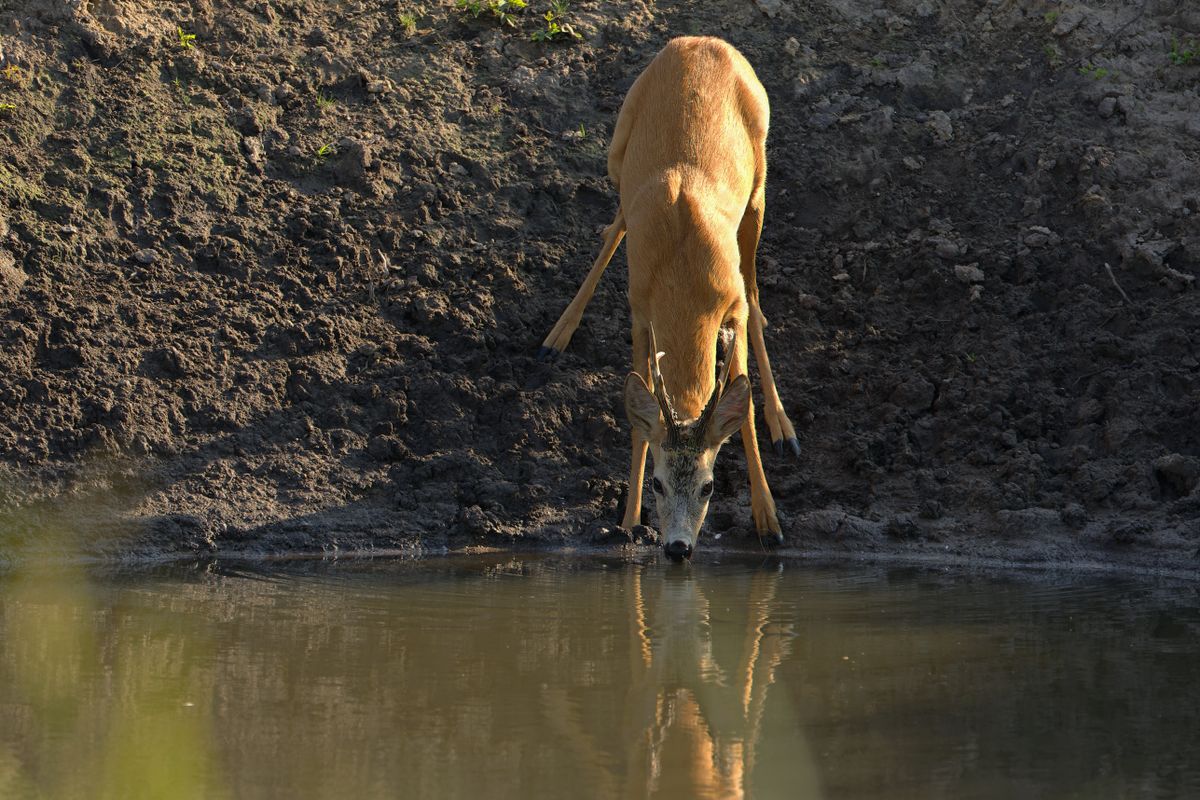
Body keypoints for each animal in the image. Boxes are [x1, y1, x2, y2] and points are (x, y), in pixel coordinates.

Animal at [540, 37, 801, 563]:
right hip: (618, 151)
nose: (678, 548)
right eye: (659, 484)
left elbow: (741, 407)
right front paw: (627, 519)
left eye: (708, 486)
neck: (683, 283)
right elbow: (641, 420)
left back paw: (784, 425)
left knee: (755, 286)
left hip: (759, 183)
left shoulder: (730, 305)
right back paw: (558, 333)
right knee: (615, 222)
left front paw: (769, 521)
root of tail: (702, 41)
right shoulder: (641, 308)